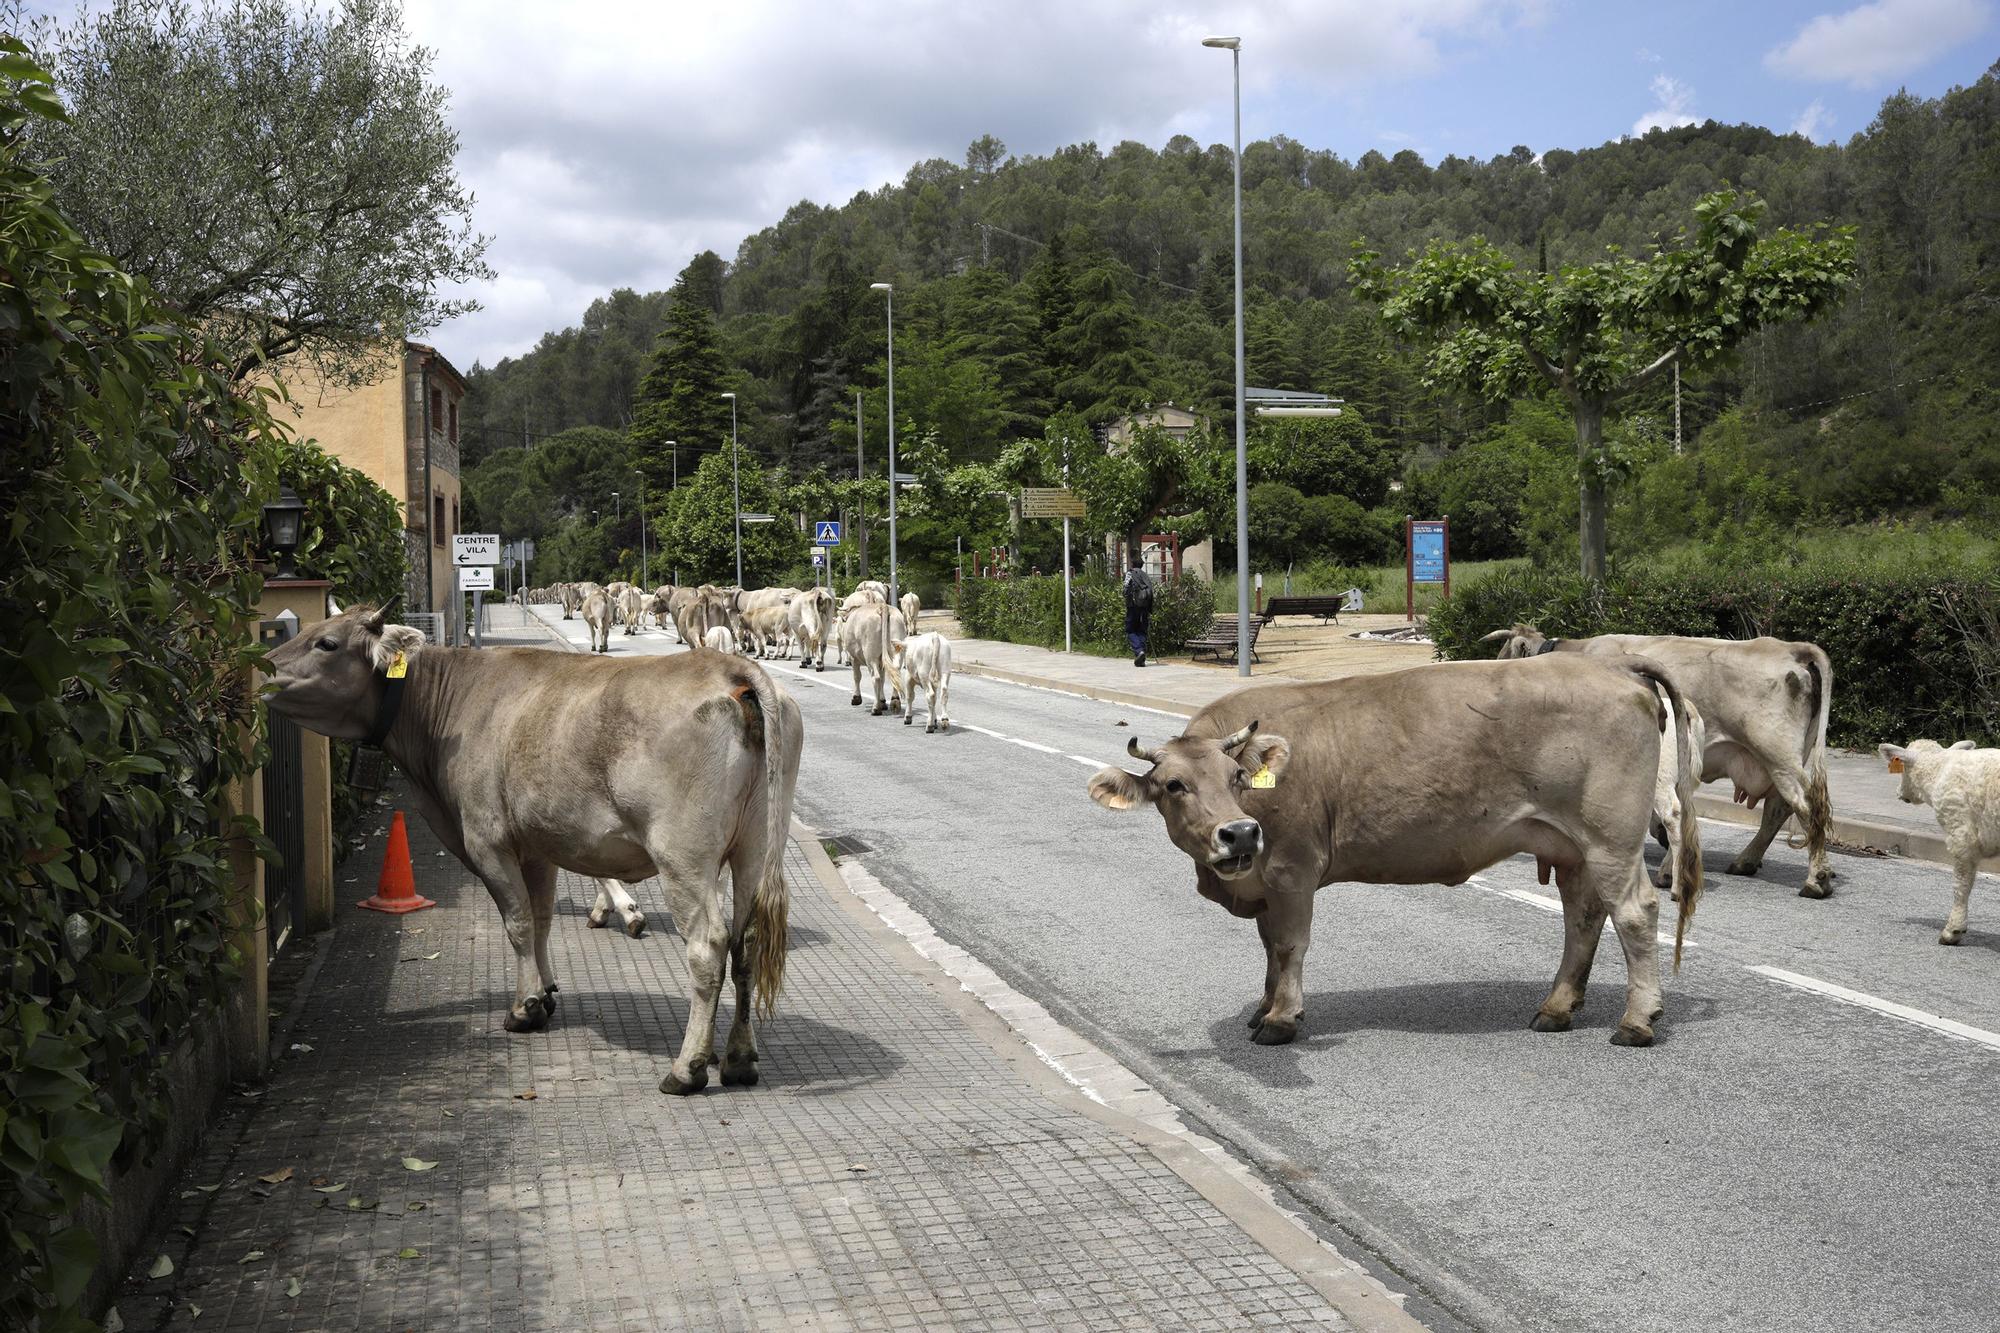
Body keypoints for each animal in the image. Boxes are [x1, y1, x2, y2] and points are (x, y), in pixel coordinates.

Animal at [262, 600, 800, 1088]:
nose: (262, 668)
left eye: (326, 643)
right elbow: (541, 920)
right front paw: (546, 991)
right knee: (748, 941)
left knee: (708, 945)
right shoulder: (539, 845)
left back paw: (687, 1068)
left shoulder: (487, 840)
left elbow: (518, 923)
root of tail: (732, 667)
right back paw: (738, 1060)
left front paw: (525, 1009)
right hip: (755, 846)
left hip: (683, 855)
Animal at [1088, 652, 1696, 1048]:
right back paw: (1556, 1008)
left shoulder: (1291, 868)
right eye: (1174, 785)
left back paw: (1637, 1020)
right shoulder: (1263, 879)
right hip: (1572, 846)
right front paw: (1263, 1006)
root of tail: (1613, 664)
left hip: (1611, 838)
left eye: (1237, 776)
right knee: (1583, 918)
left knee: (1634, 913)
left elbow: (1287, 945)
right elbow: (1267, 947)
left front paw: (1282, 1018)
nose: (1239, 833)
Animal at [1480, 628, 1832, 896]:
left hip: (1777, 755)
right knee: (1778, 809)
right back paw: (1743, 862)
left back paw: (1816, 880)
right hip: (1785, 758)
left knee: (1805, 807)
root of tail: (1790, 648)